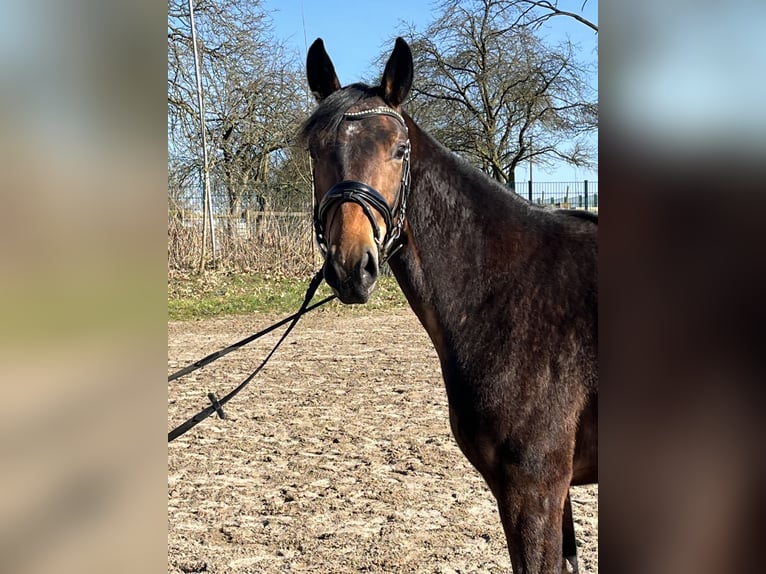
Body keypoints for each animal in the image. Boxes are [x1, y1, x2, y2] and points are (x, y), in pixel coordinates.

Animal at [302, 37, 600, 574]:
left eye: (399, 150)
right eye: (316, 151)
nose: (352, 266)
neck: (506, 292)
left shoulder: (534, 487)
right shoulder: (551, 491)